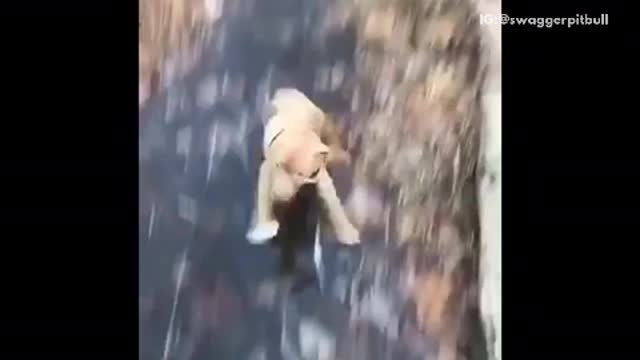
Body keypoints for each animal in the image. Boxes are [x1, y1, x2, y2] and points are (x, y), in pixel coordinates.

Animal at [246, 88, 360, 245]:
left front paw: (348, 233)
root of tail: (286, 90)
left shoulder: (318, 170)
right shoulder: (269, 167)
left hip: (319, 116)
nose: (278, 196)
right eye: (278, 165)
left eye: (300, 174)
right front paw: (264, 229)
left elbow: (332, 200)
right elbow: (264, 188)